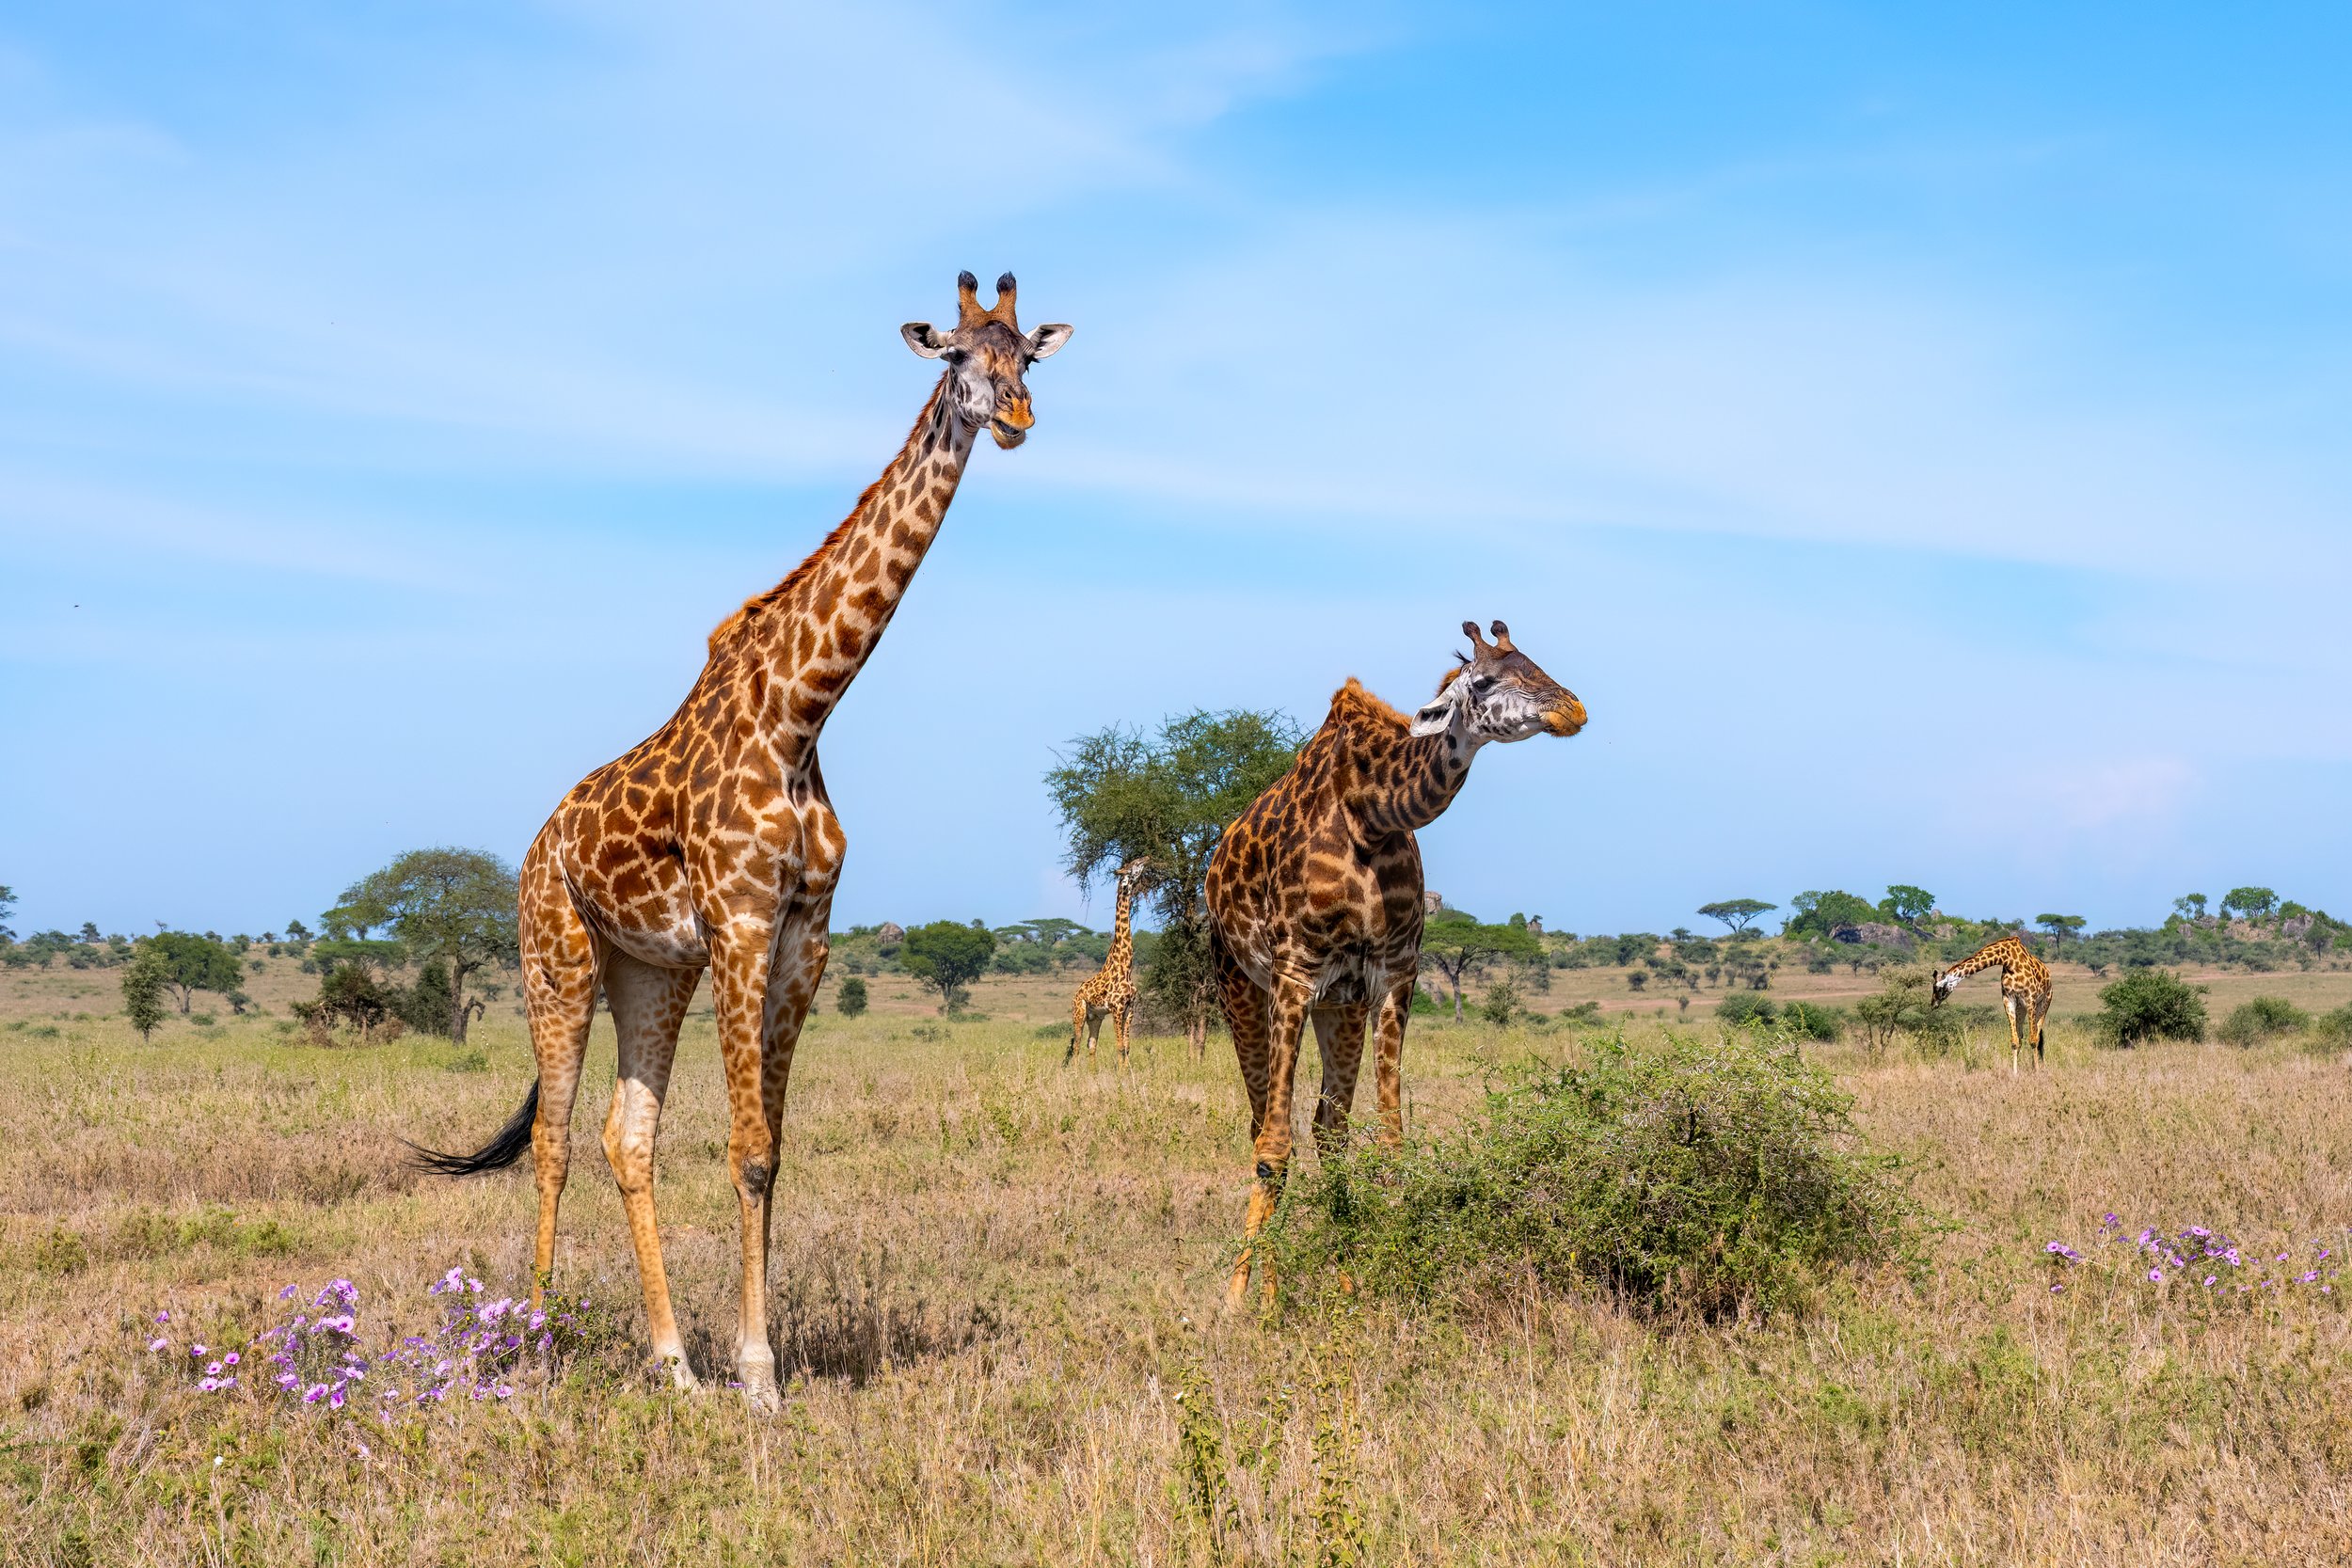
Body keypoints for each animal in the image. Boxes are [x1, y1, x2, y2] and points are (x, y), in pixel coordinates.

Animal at [407, 272, 1070, 1409]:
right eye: (956, 357)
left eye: (1027, 354)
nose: (1020, 419)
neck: (802, 712)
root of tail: (537, 847)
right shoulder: (743, 921)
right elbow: (746, 1145)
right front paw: (760, 1377)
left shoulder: (807, 934)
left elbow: (771, 1150)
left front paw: (750, 1363)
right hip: (556, 957)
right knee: (553, 1138)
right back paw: (534, 1337)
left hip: (649, 971)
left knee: (626, 1137)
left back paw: (672, 1361)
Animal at [1068, 858, 1151, 1066]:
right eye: (1134, 864)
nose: (1147, 857)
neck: (1126, 966)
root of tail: (1076, 993)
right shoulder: (1116, 1008)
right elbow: (1120, 1047)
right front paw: (1121, 1073)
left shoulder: (1130, 1008)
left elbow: (1127, 1047)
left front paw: (1128, 1072)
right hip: (1079, 1012)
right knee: (1076, 1045)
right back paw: (1074, 1072)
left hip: (1095, 1017)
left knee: (1091, 1044)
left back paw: (1092, 1072)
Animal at [1205, 620, 1586, 1307]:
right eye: (1486, 680)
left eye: (1535, 661)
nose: (1573, 709)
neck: (1370, 816)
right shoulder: (1294, 971)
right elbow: (1274, 1145)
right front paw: (1248, 1300)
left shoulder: (1392, 973)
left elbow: (1387, 1140)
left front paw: (1385, 1278)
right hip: (1239, 984)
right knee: (1263, 1126)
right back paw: (1259, 1287)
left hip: (1340, 1005)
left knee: (1328, 1128)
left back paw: (1344, 1276)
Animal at [1932, 934, 2053, 1074]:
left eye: (1937, 988)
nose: (1933, 1004)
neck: (2008, 960)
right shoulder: (2008, 999)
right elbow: (2015, 1041)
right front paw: (2015, 1073)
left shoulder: (2030, 999)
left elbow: (2033, 1040)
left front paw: (2037, 1072)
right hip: (2021, 1009)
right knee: (2021, 1037)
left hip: (2044, 1003)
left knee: (2037, 1036)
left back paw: (2036, 1067)